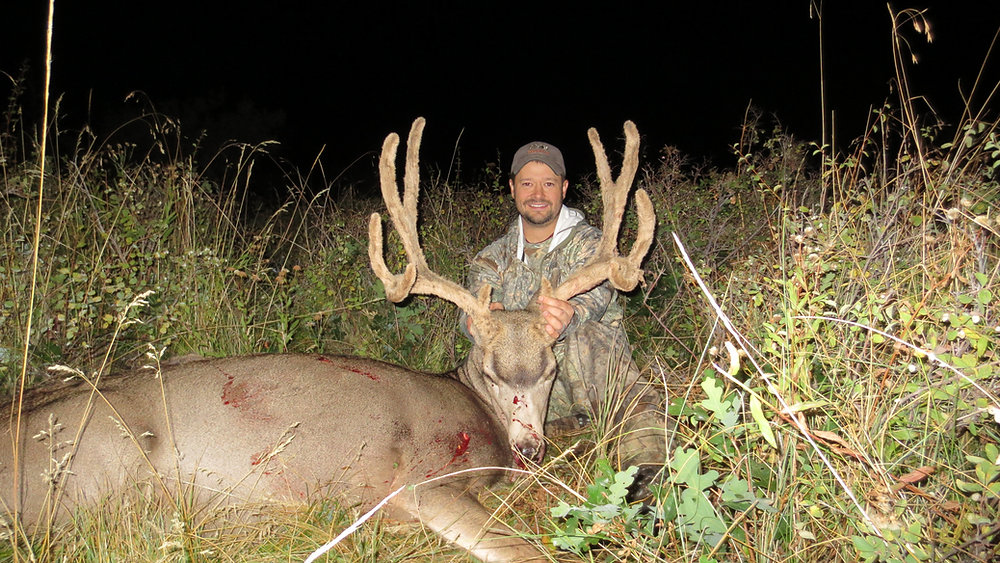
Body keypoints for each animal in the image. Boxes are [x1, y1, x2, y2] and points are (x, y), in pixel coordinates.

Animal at [0, 117, 654, 562]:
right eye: (491, 370)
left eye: (550, 367)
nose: (530, 449)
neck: (477, 410)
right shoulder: (424, 483)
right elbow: (530, 550)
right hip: (99, 481)